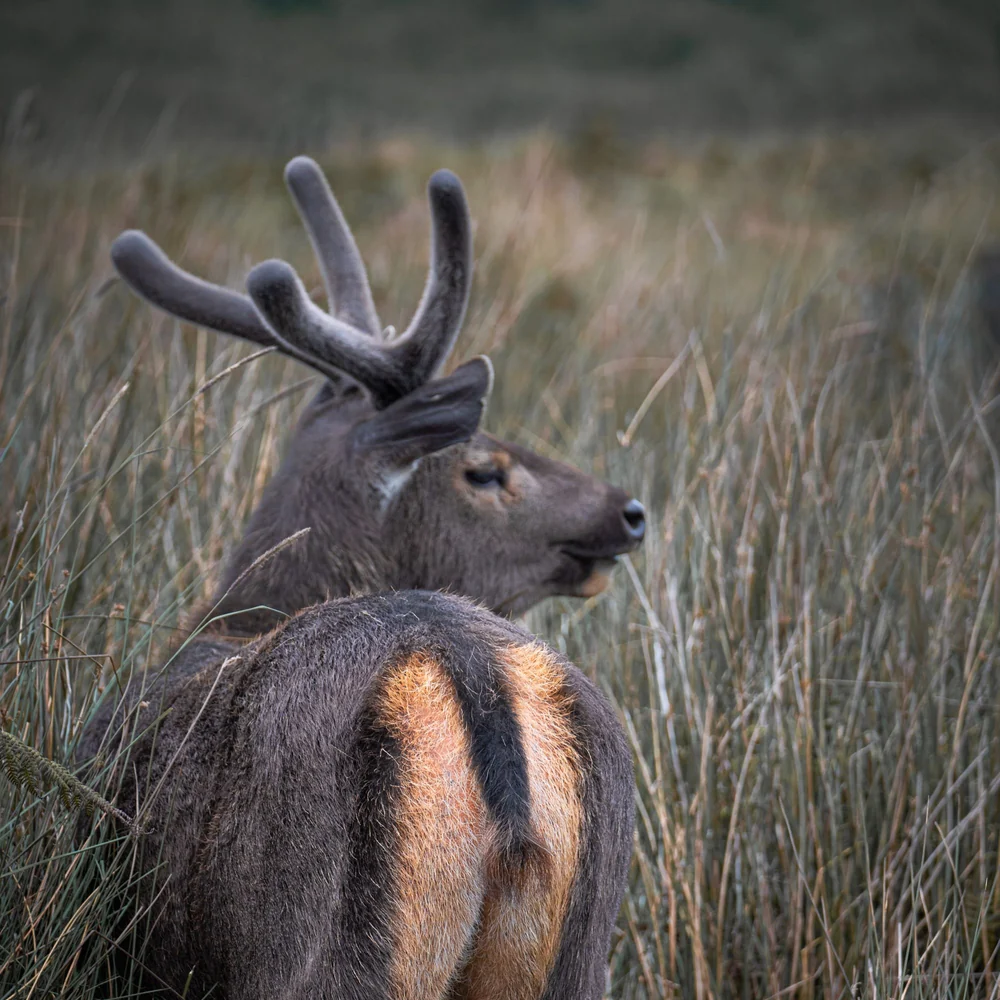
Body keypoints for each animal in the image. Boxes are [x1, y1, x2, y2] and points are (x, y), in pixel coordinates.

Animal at [80, 157, 645, 1000]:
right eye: (484, 468)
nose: (628, 511)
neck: (232, 615)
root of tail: (470, 670)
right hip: (582, 954)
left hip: (334, 944)